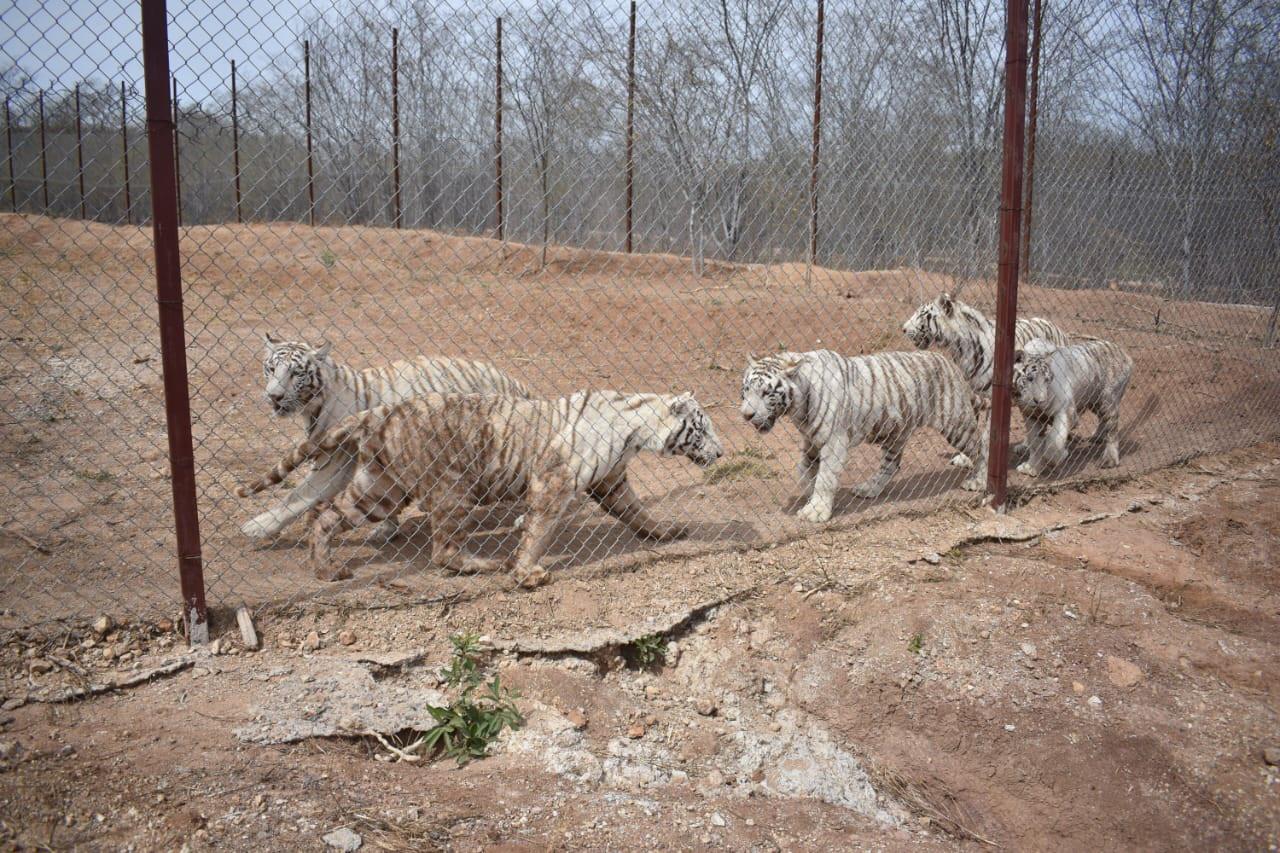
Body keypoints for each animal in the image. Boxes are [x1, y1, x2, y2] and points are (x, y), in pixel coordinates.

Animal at [236, 389, 727, 584]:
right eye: (702, 427)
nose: (722, 452)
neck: (634, 430)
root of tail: (382, 412)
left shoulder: (611, 482)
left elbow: (637, 511)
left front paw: (665, 532)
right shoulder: (553, 482)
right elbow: (539, 529)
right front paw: (527, 571)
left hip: (380, 489)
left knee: (326, 516)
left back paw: (327, 571)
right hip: (451, 489)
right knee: (441, 550)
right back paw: (484, 564)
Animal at [240, 333, 535, 537]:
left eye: (295, 373)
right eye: (271, 369)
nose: (274, 396)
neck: (315, 404)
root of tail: (517, 384)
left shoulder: (336, 462)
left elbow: (297, 496)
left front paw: (257, 527)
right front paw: (387, 528)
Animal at [737, 348, 983, 522]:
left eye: (766, 393)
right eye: (746, 390)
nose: (746, 415)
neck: (798, 406)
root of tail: (947, 362)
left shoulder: (833, 441)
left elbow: (825, 478)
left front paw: (816, 511)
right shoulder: (811, 440)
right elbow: (805, 470)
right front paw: (810, 497)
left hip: (955, 422)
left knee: (980, 445)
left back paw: (977, 480)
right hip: (895, 433)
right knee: (891, 464)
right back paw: (869, 488)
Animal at [901, 292, 1070, 466]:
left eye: (922, 314)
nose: (903, 329)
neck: (961, 350)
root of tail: (1058, 328)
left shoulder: (992, 397)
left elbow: (987, 433)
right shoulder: (970, 393)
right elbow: (972, 425)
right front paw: (965, 459)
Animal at [1008, 335, 1131, 473]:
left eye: (1047, 380)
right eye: (1030, 379)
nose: (1041, 401)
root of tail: (1123, 353)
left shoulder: (1066, 412)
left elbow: (1054, 441)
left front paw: (1058, 457)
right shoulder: (1031, 416)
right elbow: (1035, 443)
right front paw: (1032, 467)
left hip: (1107, 399)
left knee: (1112, 429)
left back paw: (1109, 459)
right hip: (1094, 402)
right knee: (1102, 419)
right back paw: (1097, 437)